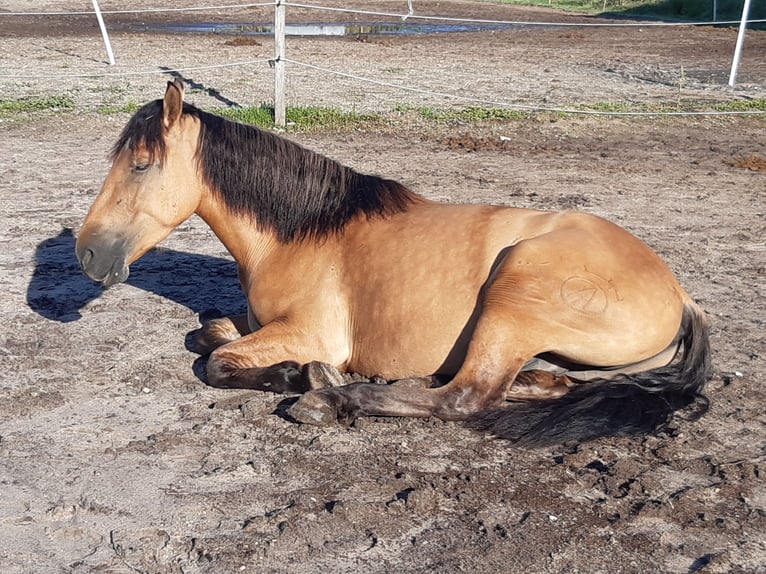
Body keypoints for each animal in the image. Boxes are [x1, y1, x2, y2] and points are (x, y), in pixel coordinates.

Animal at [76, 79, 711, 446]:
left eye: (140, 164)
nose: (86, 253)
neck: (301, 234)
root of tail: (682, 296)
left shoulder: (310, 332)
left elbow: (216, 362)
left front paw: (302, 374)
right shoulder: (259, 322)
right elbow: (208, 334)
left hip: (516, 287)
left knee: (468, 398)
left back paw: (331, 398)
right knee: (537, 384)